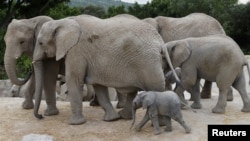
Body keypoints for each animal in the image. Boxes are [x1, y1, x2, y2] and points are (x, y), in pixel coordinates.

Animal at [32, 14, 180, 124]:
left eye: (40, 43)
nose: (41, 116)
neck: (62, 21)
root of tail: (160, 41)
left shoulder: (76, 51)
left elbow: (74, 80)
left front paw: (75, 123)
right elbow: (99, 86)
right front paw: (111, 119)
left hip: (148, 62)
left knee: (155, 88)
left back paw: (160, 123)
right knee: (133, 90)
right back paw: (124, 117)